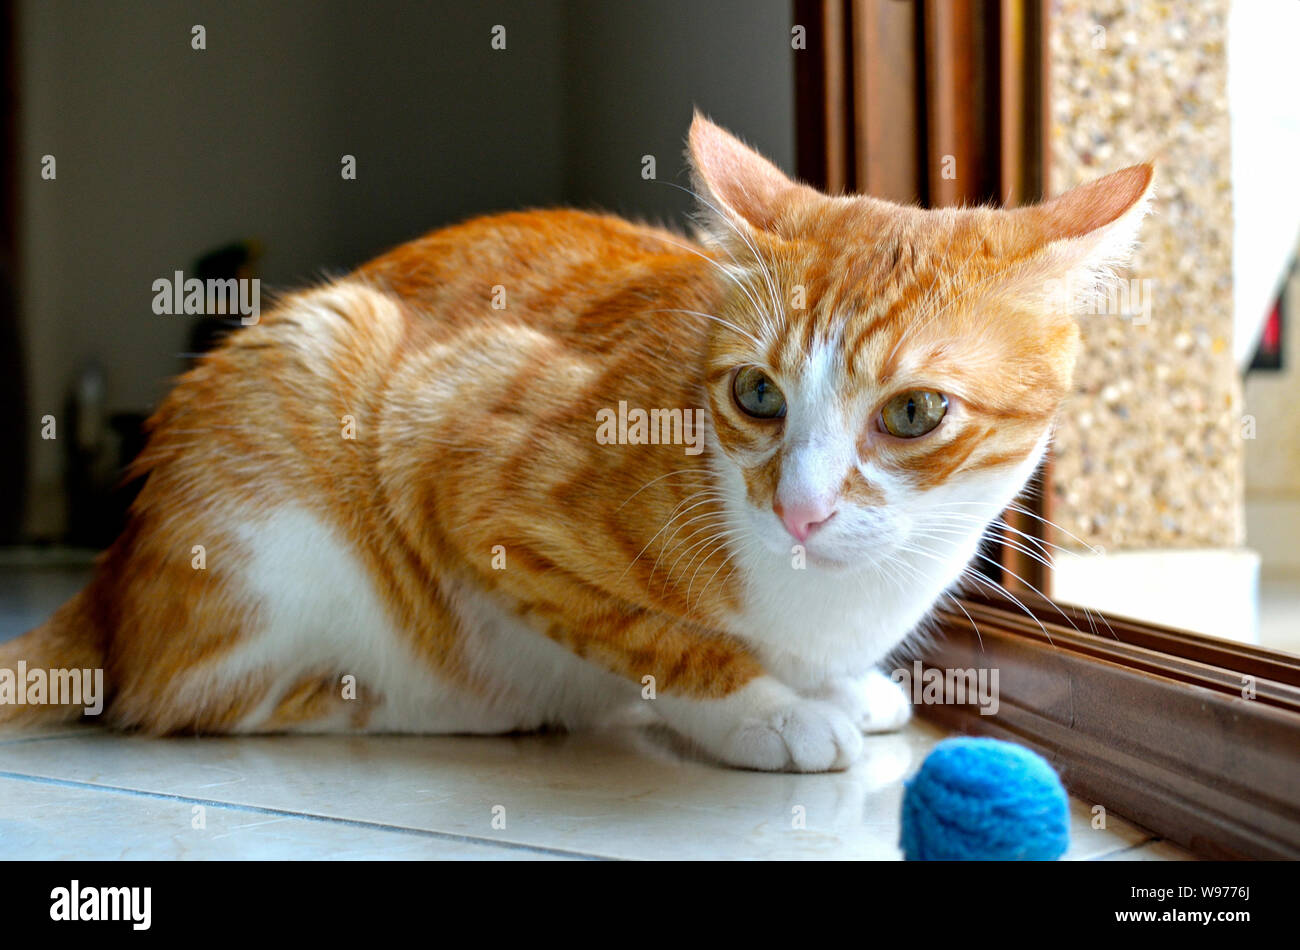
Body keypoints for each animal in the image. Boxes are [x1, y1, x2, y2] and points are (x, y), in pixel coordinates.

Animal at [0, 116, 1159, 774]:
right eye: (756, 394)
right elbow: (647, 638)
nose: (799, 509)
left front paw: (838, 687)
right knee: (210, 700)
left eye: (913, 413)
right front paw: (768, 710)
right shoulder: (465, 472)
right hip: (303, 430)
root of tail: (110, 578)